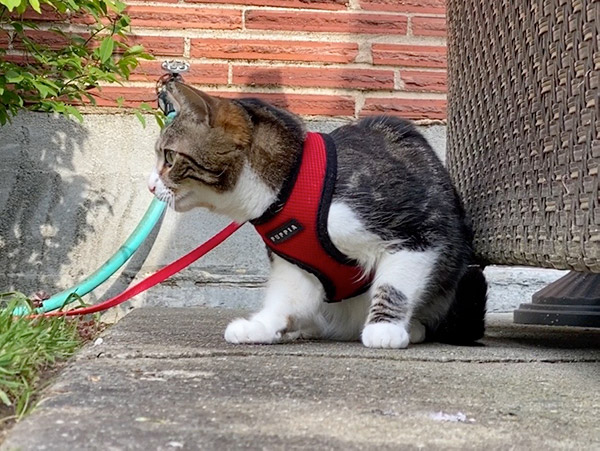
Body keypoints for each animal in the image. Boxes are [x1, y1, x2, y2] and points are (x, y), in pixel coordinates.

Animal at [149, 81, 488, 350]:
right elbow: (287, 295)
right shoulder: (295, 263)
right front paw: (262, 325)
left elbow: (395, 284)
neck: (291, 183)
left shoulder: (415, 230)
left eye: (169, 157)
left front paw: (385, 327)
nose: (151, 185)